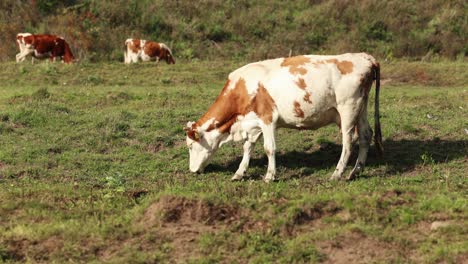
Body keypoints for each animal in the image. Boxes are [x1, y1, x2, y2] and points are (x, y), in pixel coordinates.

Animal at [185, 52, 382, 183]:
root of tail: (364, 57)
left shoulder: (267, 119)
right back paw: (355, 171)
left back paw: (338, 173)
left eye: (190, 146)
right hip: (361, 108)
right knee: (366, 135)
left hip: (348, 108)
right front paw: (239, 173)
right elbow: (248, 147)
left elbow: (269, 148)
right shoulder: (254, 123)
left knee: (348, 141)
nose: (192, 170)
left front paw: (269, 176)